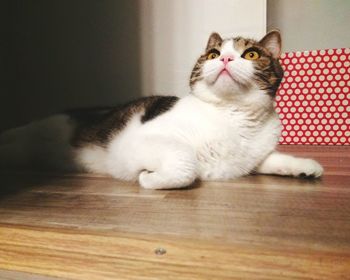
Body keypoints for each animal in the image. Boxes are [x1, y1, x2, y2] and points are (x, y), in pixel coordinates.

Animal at [0, 30, 322, 189]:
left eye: (251, 54)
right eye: (212, 54)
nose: (225, 59)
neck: (233, 116)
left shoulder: (252, 156)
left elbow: (272, 158)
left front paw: (306, 167)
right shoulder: (140, 140)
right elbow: (185, 163)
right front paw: (149, 178)